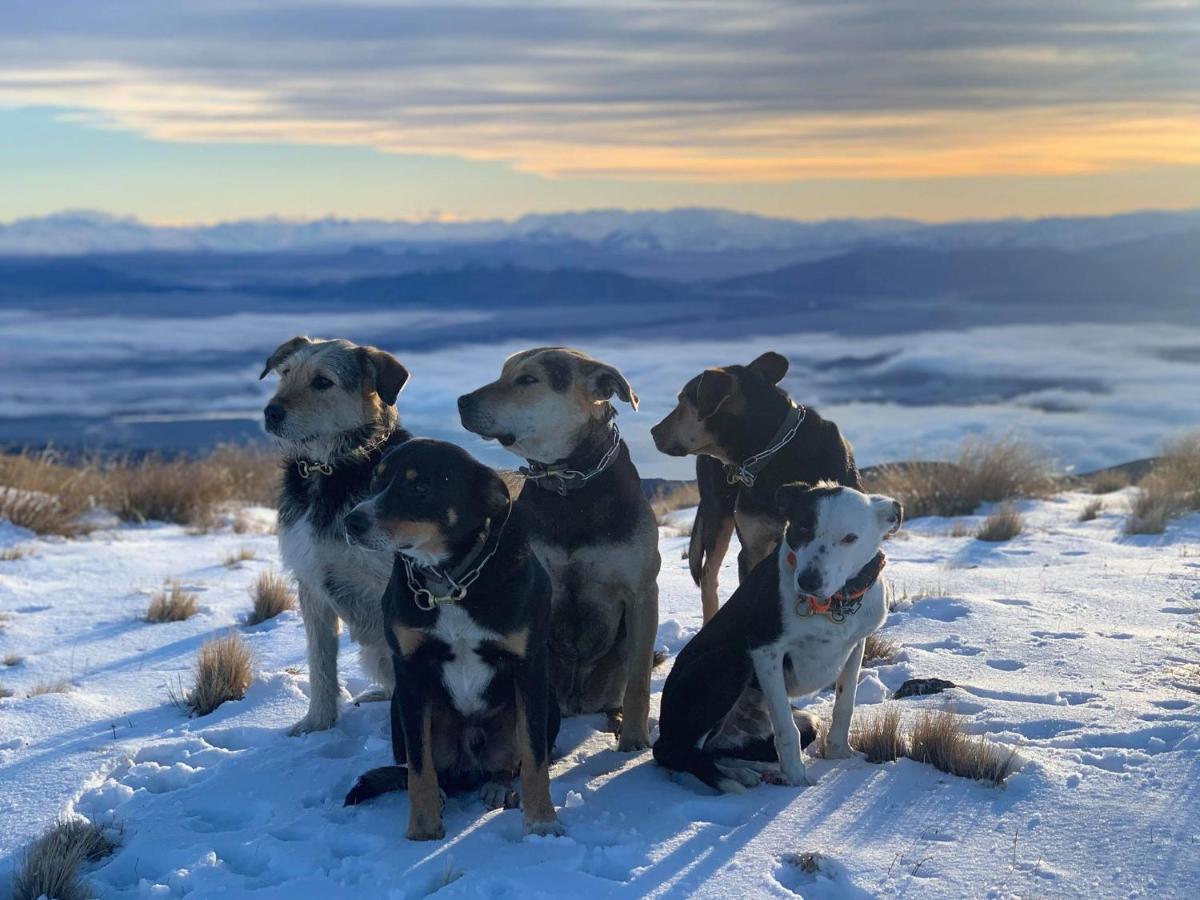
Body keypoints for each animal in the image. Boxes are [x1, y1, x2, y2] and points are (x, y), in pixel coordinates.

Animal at [261, 336, 412, 734]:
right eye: (285, 373)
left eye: (322, 382)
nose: (271, 412)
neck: (330, 470)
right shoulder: (311, 584)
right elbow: (321, 666)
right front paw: (317, 723)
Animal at [338, 441, 561, 844]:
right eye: (376, 481)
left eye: (420, 487)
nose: (352, 522)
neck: (449, 583)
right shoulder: (409, 672)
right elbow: (419, 765)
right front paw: (423, 826)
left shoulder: (530, 667)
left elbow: (534, 758)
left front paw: (541, 821)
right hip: (398, 708)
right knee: (426, 767)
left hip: (548, 704)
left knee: (510, 763)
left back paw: (498, 786)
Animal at [657, 482, 902, 792]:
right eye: (802, 528)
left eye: (849, 538)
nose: (808, 581)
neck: (834, 605)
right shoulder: (765, 651)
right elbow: (786, 728)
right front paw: (797, 777)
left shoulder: (856, 645)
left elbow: (844, 705)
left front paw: (840, 752)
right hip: (729, 663)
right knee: (676, 752)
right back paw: (729, 780)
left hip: (803, 721)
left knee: (711, 751)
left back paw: (749, 770)